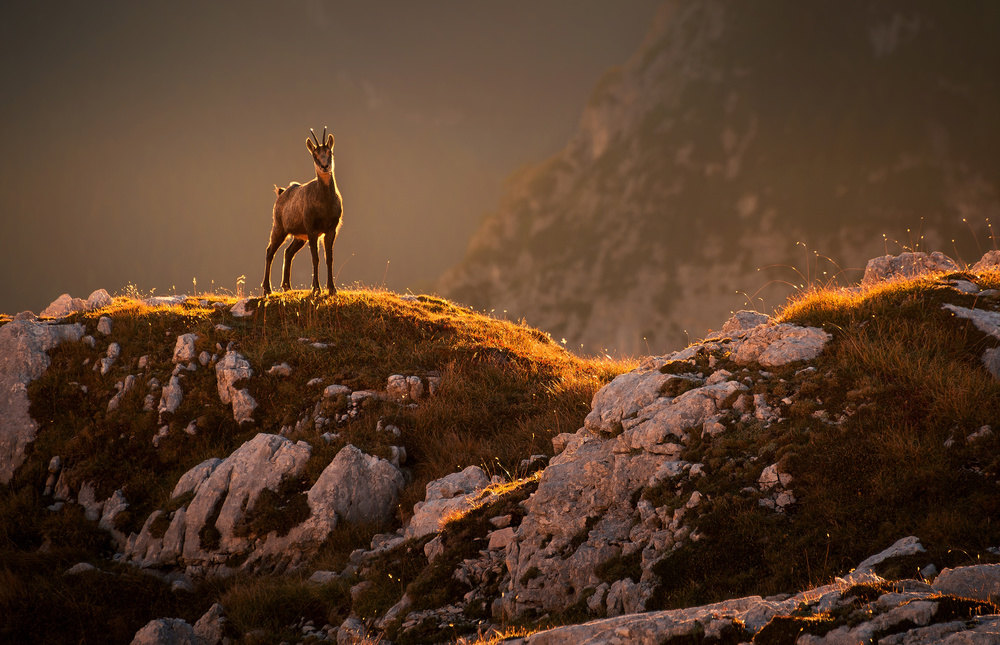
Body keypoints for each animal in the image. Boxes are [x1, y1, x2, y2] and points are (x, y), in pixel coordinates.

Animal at [262, 127, 344, 296]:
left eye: (330, 152)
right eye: (315, 155)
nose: (325, 166)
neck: (325, 204)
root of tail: (281, 192)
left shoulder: (331, 229)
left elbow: (329, 258)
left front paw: (332, 289)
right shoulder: (312, 228)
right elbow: (315, 258)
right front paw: (316, 288)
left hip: (299, 236)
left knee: (288, 252)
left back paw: (287, 286)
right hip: (279, 227)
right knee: (270, 251)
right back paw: (267, 289)